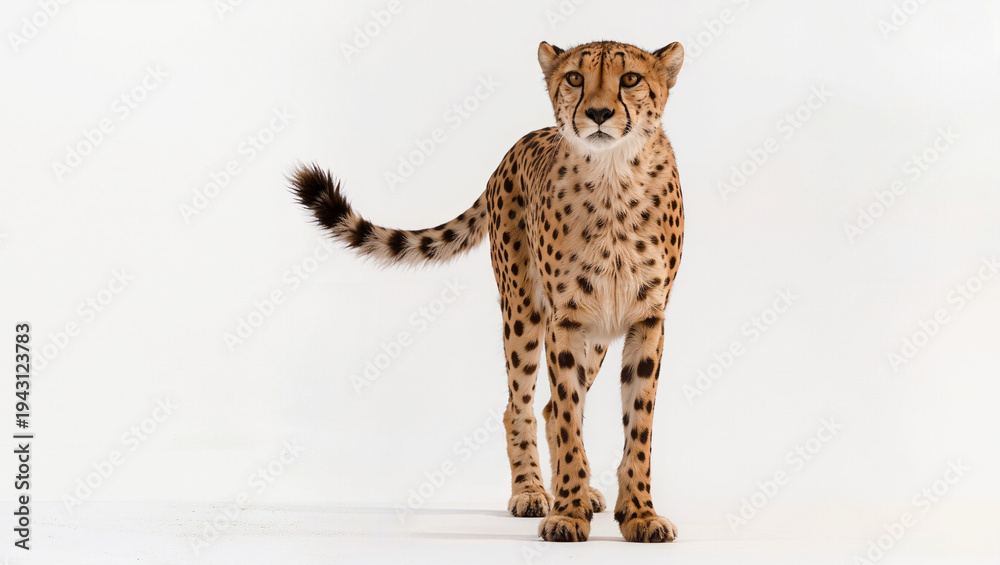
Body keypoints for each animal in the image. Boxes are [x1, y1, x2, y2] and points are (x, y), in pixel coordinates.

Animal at [290, 40, 685, 543]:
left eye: (630, 79)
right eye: (575, 78)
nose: (597, 113)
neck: (613, 175)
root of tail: (514, 148)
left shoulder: (646, 319)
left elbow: (638, 425)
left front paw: (638, 513)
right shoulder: (565, 319)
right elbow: (570, 417)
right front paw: (568, 512)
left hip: (594, 333)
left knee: (550, 407)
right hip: (524, 311)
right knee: (522, 406)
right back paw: (533, 491)